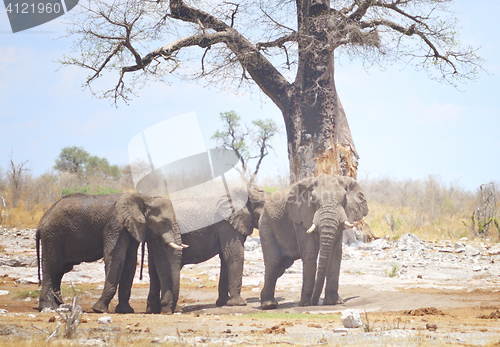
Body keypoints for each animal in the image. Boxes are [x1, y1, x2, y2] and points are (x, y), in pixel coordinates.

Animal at [35, 193, 184, 316]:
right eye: (163, 222)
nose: (167, 311)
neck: (145, 197)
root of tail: (41, 222)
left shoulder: (131, 228)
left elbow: (130, 262)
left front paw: (125, 311)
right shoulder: (115, 225)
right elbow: (115, 258)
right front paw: (99, 309)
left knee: (60, 271)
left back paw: (61, 306)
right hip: (53, 236)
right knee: (52, 268)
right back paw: (49, 308)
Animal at [146, 186, 268, 314]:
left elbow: (225, 258)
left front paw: (223, 302)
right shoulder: (228, 226)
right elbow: (234, 255)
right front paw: (238, 303)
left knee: (153, 268)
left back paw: (152, 310)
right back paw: (174, 309)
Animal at [258, 175, 368, 312]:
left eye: (344, 199)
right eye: (313, 200)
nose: (315, 302)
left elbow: (335, 255)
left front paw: (333, 302)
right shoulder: (300, 218)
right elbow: (310, 254)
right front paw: (305, 304)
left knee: (280, 265)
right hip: (265, 225)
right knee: (273, 263)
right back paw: (269, 305)